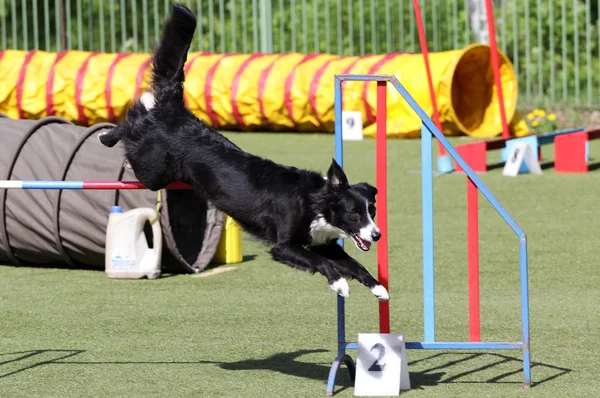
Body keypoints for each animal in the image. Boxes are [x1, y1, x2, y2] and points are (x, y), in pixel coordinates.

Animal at [98, 3, 390, 300]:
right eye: (354, 213)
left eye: (372, 210)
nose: (377, 235)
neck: (314, 199)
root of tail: (175, 109)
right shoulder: (284, 246)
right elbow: (323, 263)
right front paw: (340, 284)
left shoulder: (321, 240)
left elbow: (353, 263)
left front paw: (379, 288)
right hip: (153, 170)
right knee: (134, 122)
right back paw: (106, 135)